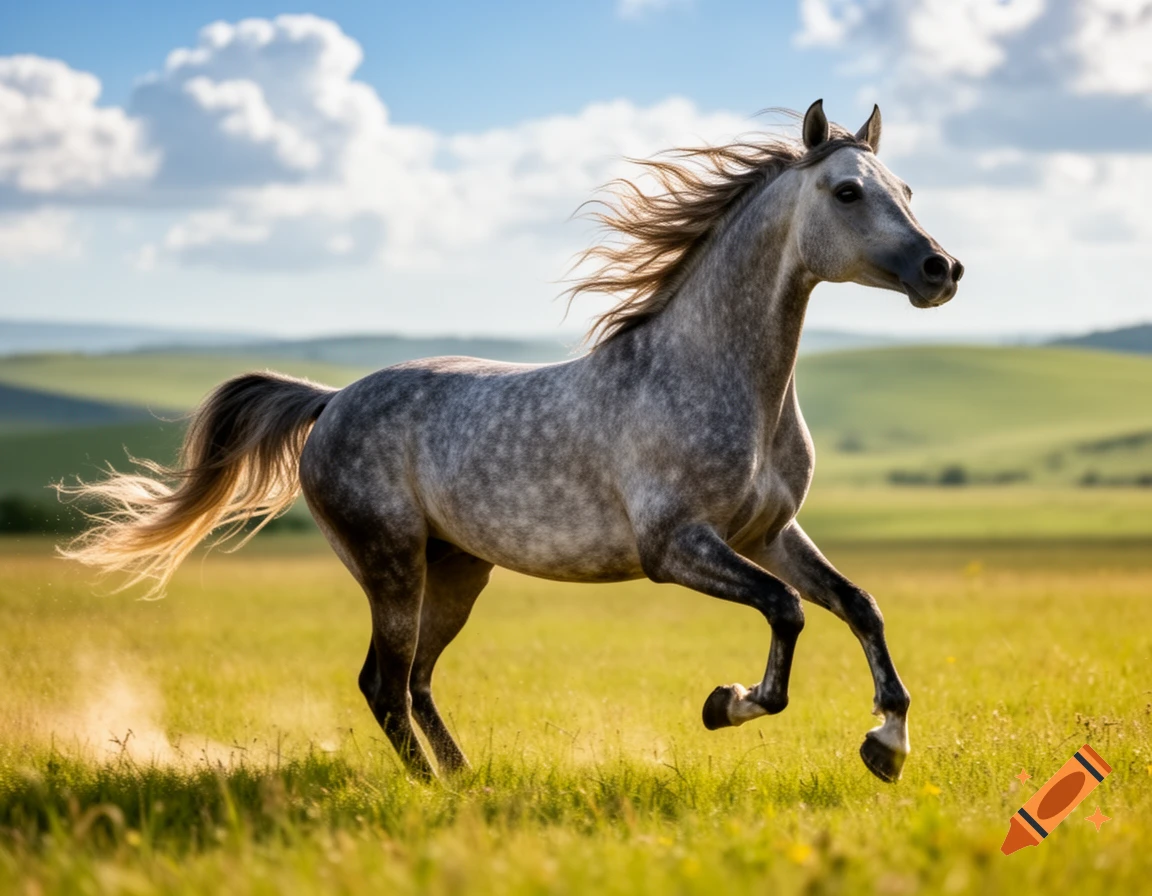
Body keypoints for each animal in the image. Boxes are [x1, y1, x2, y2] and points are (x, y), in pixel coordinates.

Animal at [60, 100, 963, 783]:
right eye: (846, 192)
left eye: (907, 186)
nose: (941, 269)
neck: (718, 377)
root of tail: (330, 401)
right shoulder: (675, 548)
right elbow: (786, 613)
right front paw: (726, 705)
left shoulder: (768, 533)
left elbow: (857, 604)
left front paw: (887, 745)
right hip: (391, 563)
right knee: (383, 682)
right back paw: (430, 792)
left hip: (458, 571)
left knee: (417, 680)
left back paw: (464, 780)